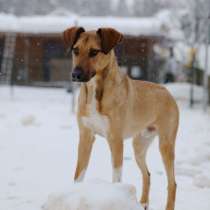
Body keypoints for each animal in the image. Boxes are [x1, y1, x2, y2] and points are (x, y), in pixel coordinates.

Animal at [62, 26, 179, 210]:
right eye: (75, 50)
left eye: (94, 52)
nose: (76, 74)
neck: (95, 91)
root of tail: (167, 91)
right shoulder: (86, 137)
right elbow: (79, 174)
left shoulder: (115, 140)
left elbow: (116, 178)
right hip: (139, 145)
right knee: (147, 174)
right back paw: (143, 203)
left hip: (166, 145)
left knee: (172, 183)